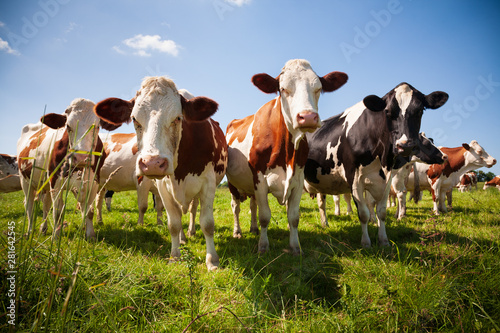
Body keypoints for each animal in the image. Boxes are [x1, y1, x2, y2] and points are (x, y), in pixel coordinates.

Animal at [94, 78, 227, 270]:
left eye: (178, 118)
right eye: (134, 118)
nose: (152, 163)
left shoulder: (208, 184)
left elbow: (207, 223)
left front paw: (212, 261)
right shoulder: (163, 186)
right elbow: (173, 224)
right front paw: (175, 256)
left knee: (193, 211)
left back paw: (190, 232)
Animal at [227, 58, 348, 253]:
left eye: (318, 88)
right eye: (283, 89)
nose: (308, 117)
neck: (286, 153)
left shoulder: (297, 181)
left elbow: (293, 217)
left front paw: (295, 248)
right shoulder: (260, 180)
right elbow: (264, 216)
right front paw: (263, 247)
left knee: (252, 205)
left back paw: (253, 228)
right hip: (232, 184)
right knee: (236, 207)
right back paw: (237, 231)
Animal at [304, 81, 450, 245]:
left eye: (420, 111)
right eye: (387, 111)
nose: (405, 145)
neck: (382, 157)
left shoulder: (386, 179)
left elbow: (381, 211)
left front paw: (383, 240)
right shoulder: (355, 180)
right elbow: (363, 213)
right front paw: (366, 242)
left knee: (321, 203)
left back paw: (325, 224)